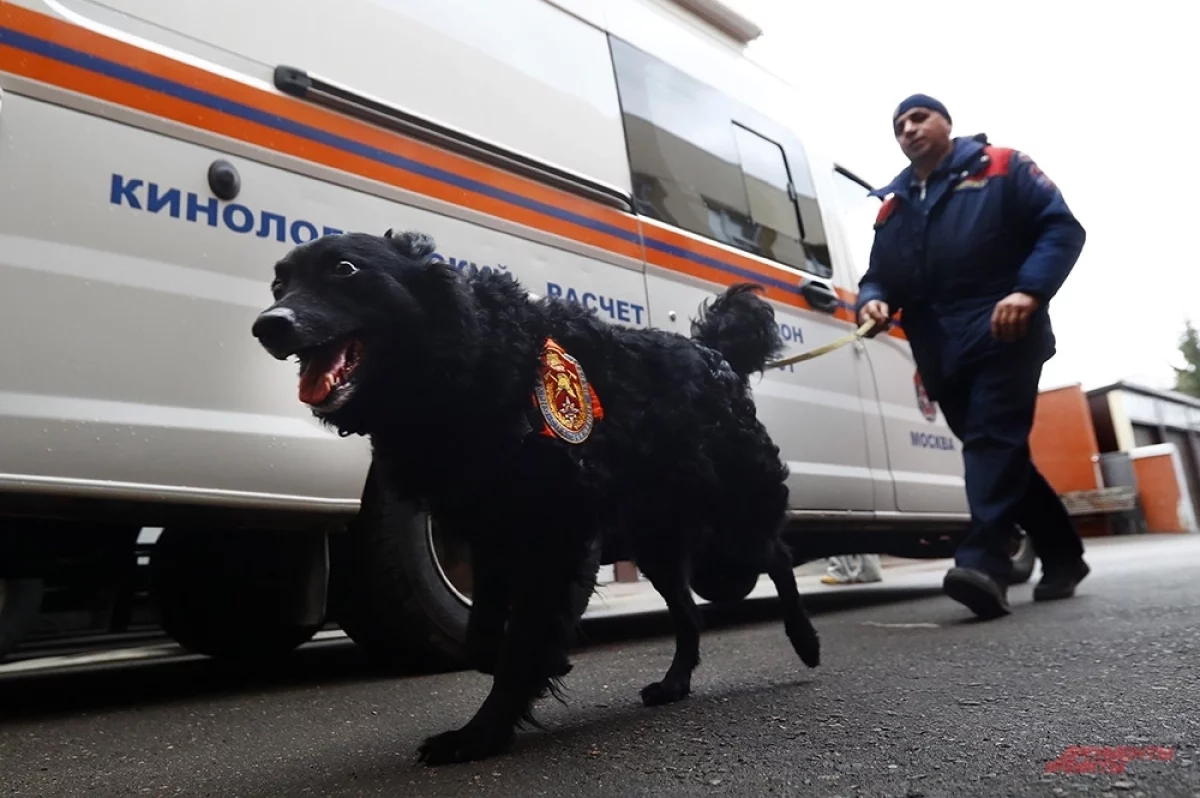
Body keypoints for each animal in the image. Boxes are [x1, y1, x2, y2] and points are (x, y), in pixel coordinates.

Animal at [251, 229, 820, 766]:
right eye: (279, 284)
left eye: (345, 270)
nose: (267, 325)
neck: (473, 360)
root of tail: (714, 354)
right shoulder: (490, 532)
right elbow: (485, 633)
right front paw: (532, 662)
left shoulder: (553, 533)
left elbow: (522, 641)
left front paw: (480, 734)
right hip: (656, 538)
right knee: (690, 613)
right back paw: (675, 682)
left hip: (731, 517)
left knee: (777, 555)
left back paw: (805, 641)